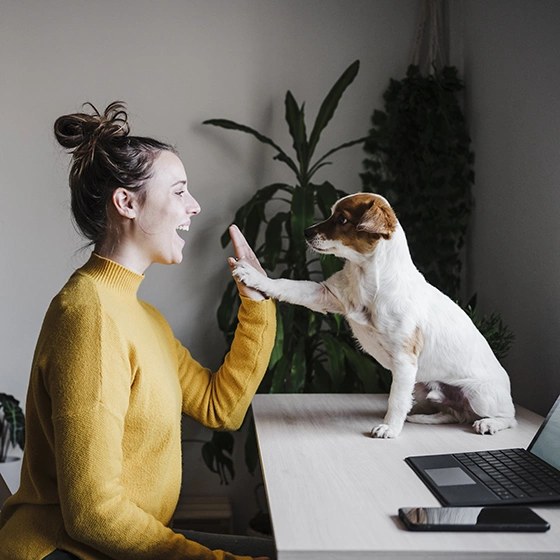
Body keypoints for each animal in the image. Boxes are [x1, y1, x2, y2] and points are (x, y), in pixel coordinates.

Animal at [233, 192, 516, 438]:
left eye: (342, 219)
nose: (305, 231)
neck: (365, 277)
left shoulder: (404, 361)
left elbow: (396, 399)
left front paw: (390, 427)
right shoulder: (324, 295)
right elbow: (285, 285)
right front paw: (254, 276)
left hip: (477, 395)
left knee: (507, 418)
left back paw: (488, 424)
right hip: (421, 385)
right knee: (453, 413)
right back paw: (423, 417)